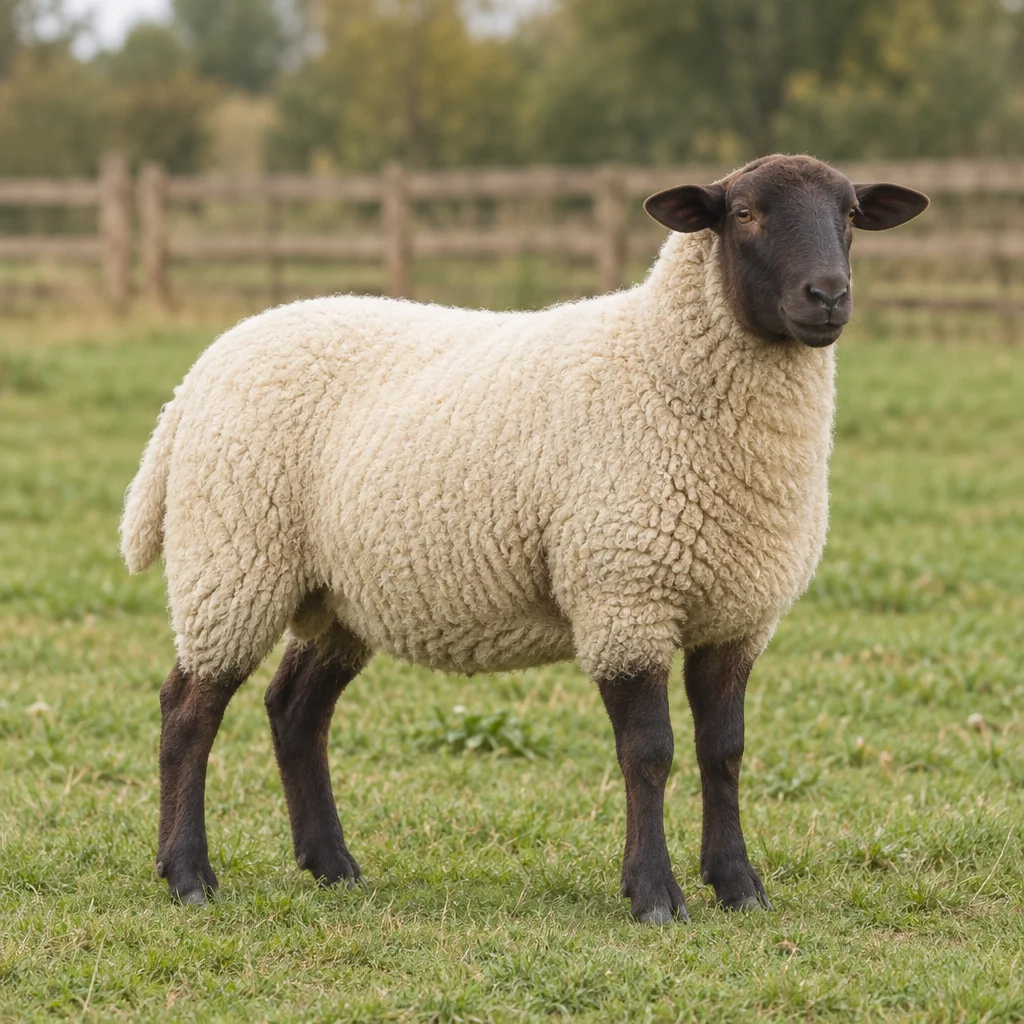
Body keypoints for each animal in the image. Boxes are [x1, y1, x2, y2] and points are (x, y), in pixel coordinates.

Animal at [121, 154, 928, 922]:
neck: (659, 359)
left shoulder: (737, 615)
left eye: (850, 214)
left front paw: (737, 886)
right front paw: (655, 895)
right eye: (744, 213)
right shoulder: (622, 595)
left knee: (294, 712)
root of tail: (197, 377)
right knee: (188, 710)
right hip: (233, 559)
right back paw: (188, 876)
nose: (828, 297)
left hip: (336, 593)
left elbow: (723, 753)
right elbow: (650, 754)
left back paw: (332, 867)